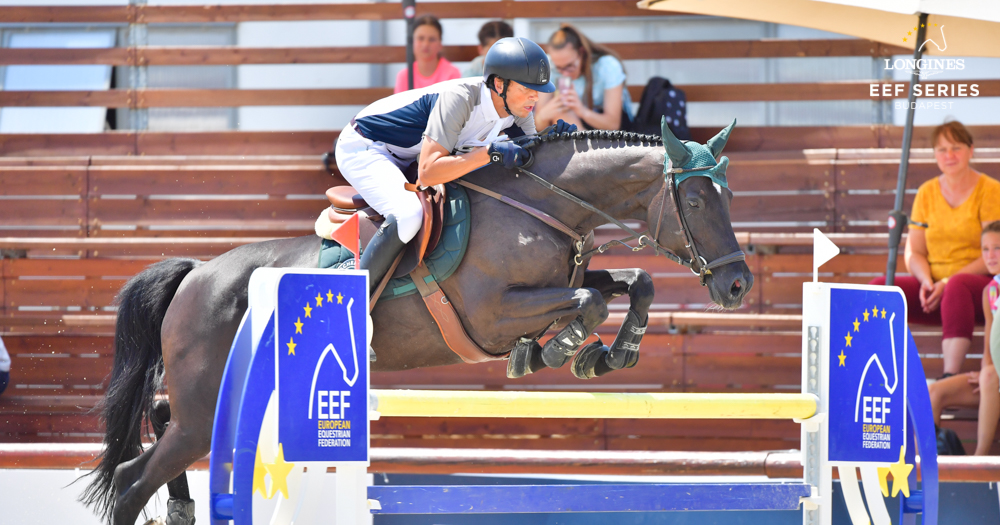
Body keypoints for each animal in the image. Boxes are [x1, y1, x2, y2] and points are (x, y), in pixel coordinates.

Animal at [82, 121, 752, 520]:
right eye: (696, 200)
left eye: (728, 196)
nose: (738, 285)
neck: (540, 204)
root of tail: (196, 275)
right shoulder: (494, 311)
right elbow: (588, 302)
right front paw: (556, 350)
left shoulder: (561, 279)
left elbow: (630, 284)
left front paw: (612, 352)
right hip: (203, 411)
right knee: (133, 477)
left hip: (219, 397)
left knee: (159, 426)